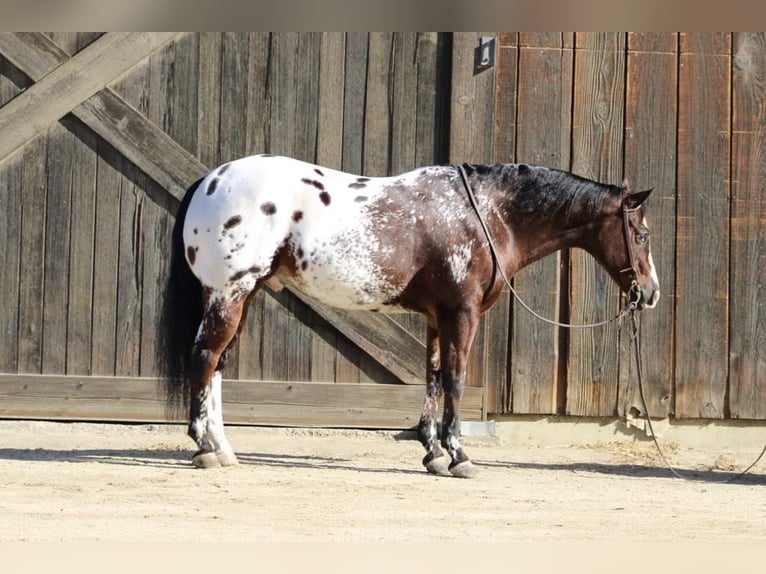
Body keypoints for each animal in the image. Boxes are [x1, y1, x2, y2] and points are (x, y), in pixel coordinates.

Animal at [158, 154, 660, 477]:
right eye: (640, 233)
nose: (651, 293)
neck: (486, 214)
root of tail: (210, 179)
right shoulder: (462, 313)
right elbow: (455, 379)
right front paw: (459, 456)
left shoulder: (438, 317)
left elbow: (433, 378)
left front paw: (433, 453)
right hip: (229, 292)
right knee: (204, 358)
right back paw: (202, 448)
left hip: (241, 296)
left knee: (218, 364)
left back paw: (224, 449)